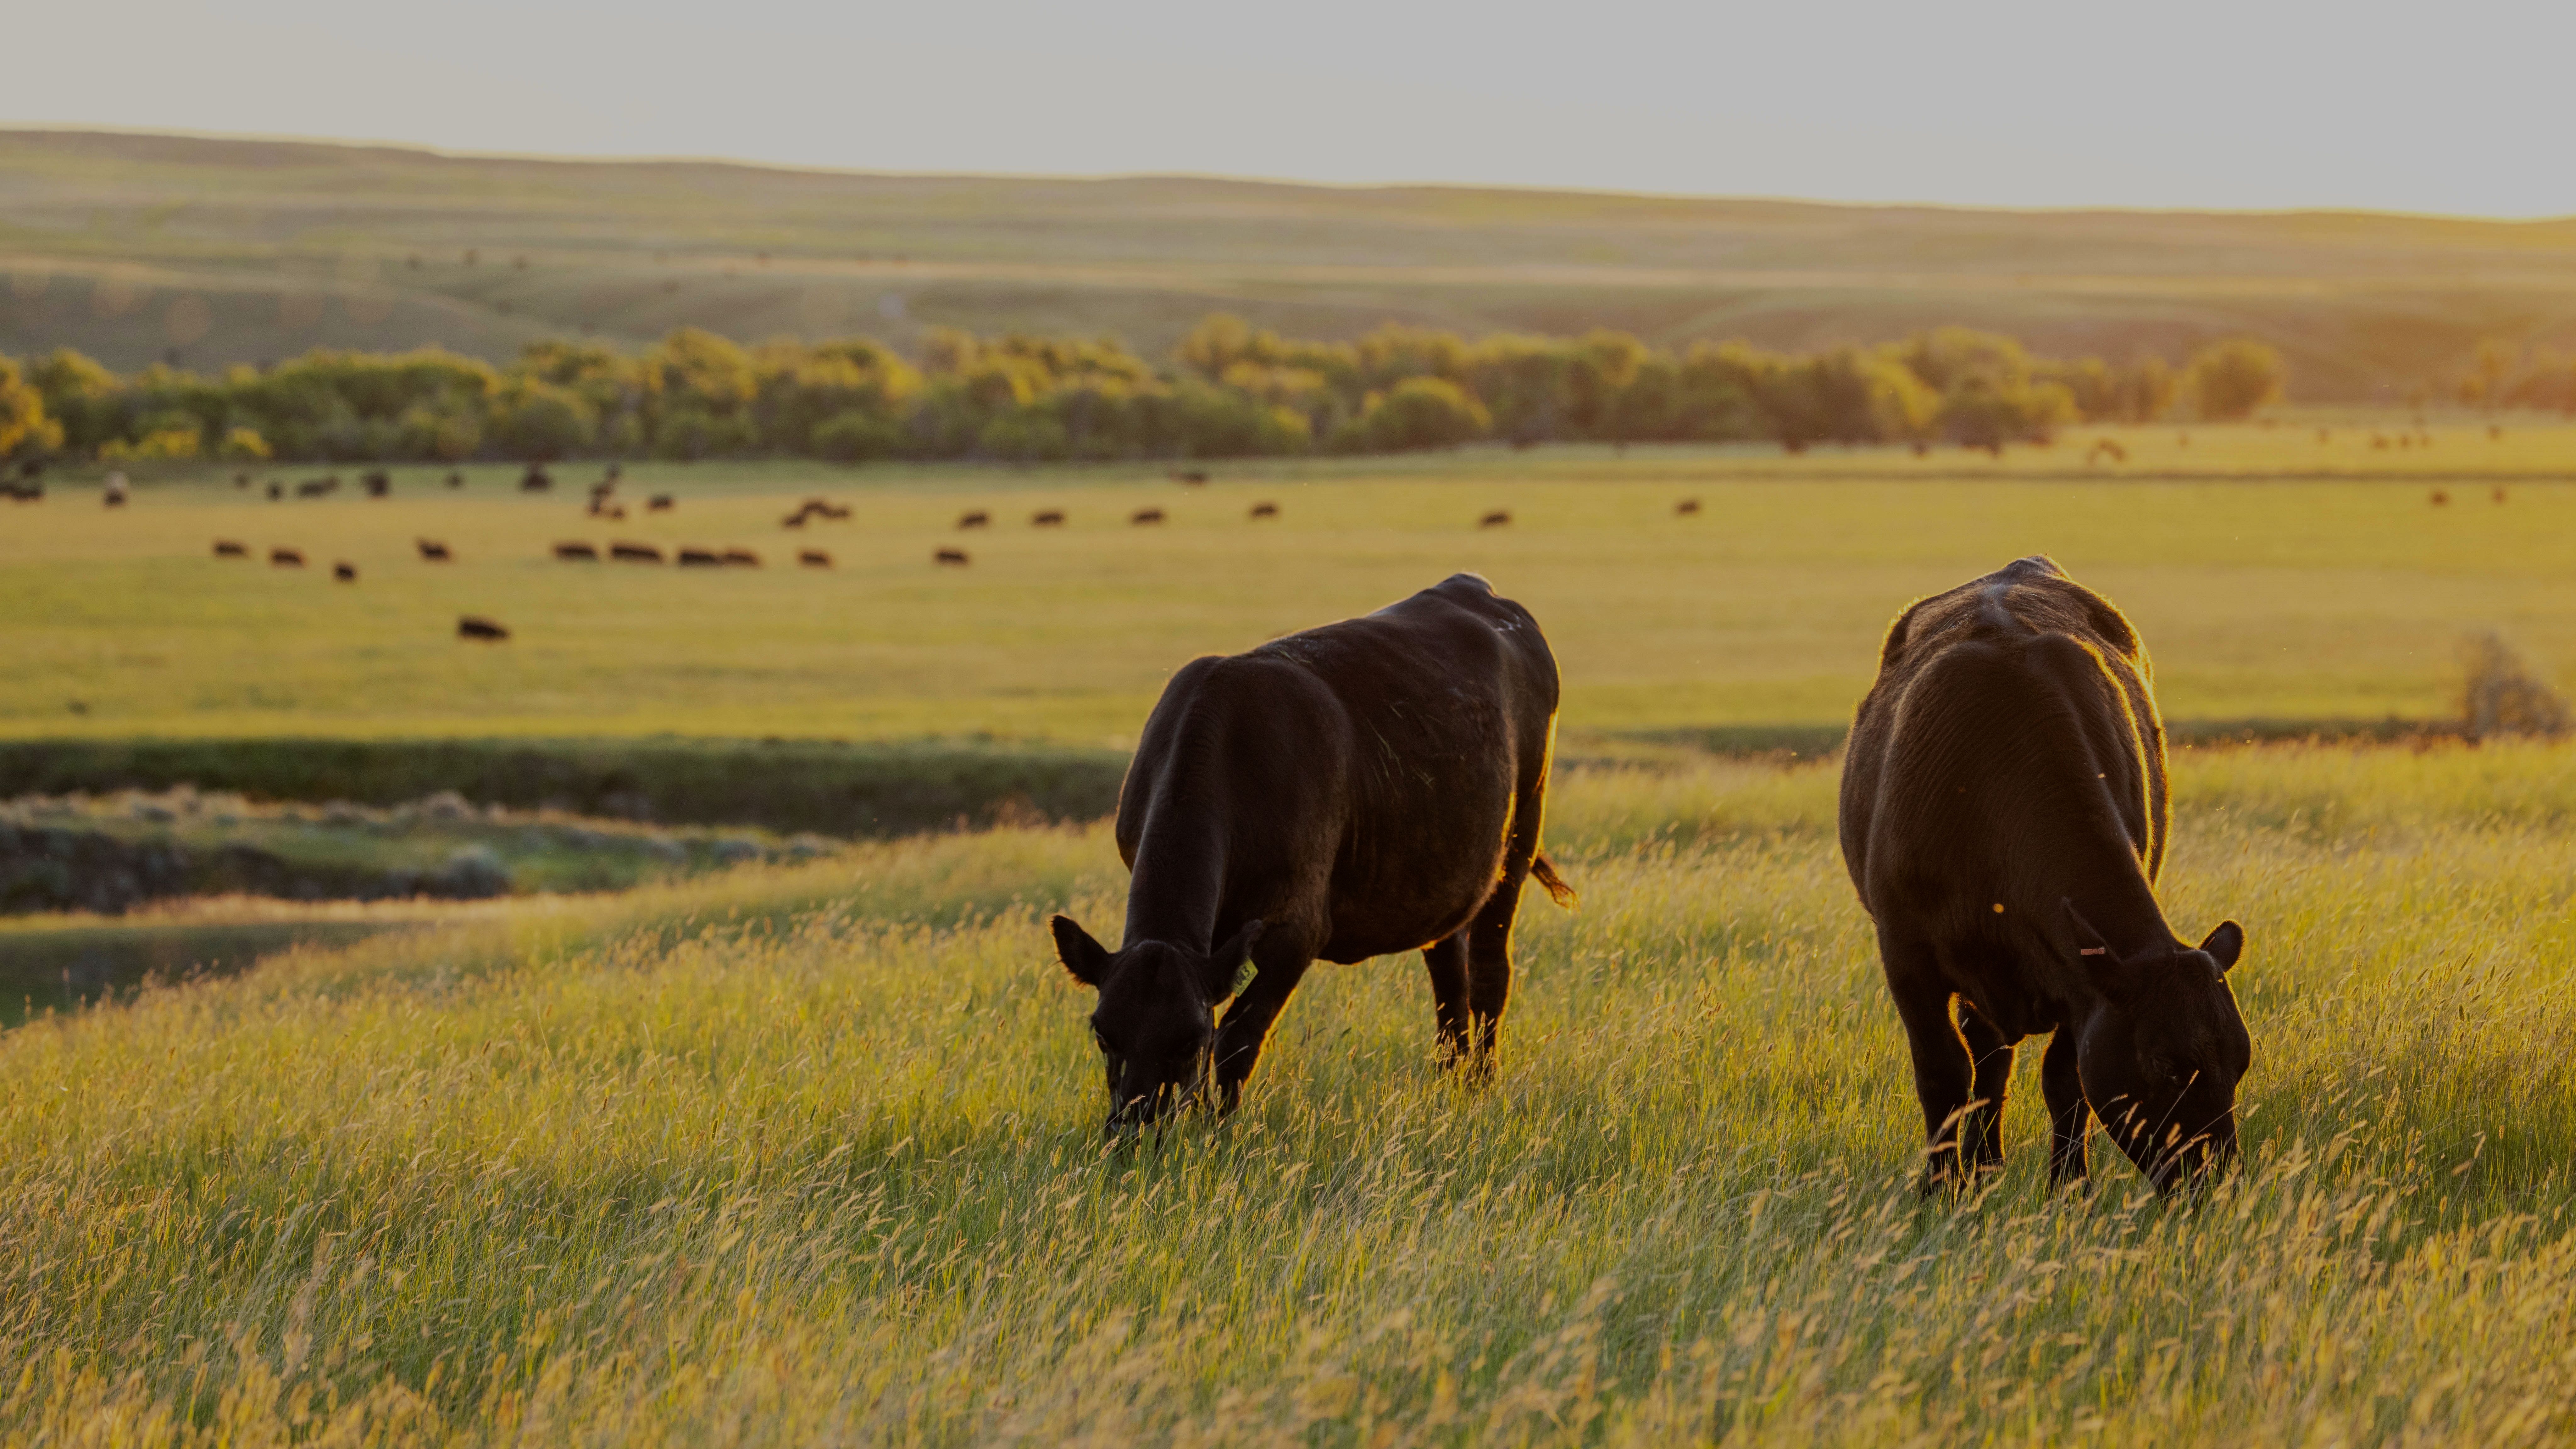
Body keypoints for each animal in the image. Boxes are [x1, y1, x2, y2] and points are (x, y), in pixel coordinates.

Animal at [1046, 572, 1566, 1129]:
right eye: (1103, 1034)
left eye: (1189, 1040)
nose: (1135, 1128)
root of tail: (1473, 587)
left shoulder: (1298, 930)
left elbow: (1238, 1036)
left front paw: (1218, 1129)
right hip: (1448, 871)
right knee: (1449, 974)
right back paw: (1452, 1084)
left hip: (1521, 834)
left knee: (1490, 973)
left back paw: (1482, 1087)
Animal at [1834, 552, 2257, 1186]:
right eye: (2165, 1063)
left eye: (2241, 1059)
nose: (2216, 1176)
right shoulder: (1905, 951)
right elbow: (1941, 1073)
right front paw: (1939, 1189)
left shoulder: (2077, 979)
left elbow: (2065, 1080)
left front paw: (2068, 1187)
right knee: (1982, 1053)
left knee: (1993, 1055)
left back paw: (1988, 1163)